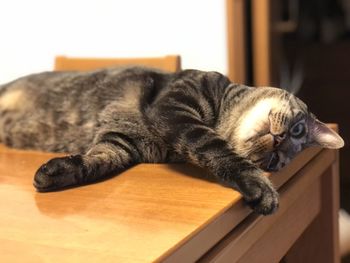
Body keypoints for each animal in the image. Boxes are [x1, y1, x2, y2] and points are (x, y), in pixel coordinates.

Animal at [0, 67, 344, 216]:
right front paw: (260, 186)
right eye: (298, 130)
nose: (279, 141)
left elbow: (94, 162)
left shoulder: (120, 142)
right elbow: (216, 147)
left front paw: (57, 172)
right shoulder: (173, 108)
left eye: (275, 161)